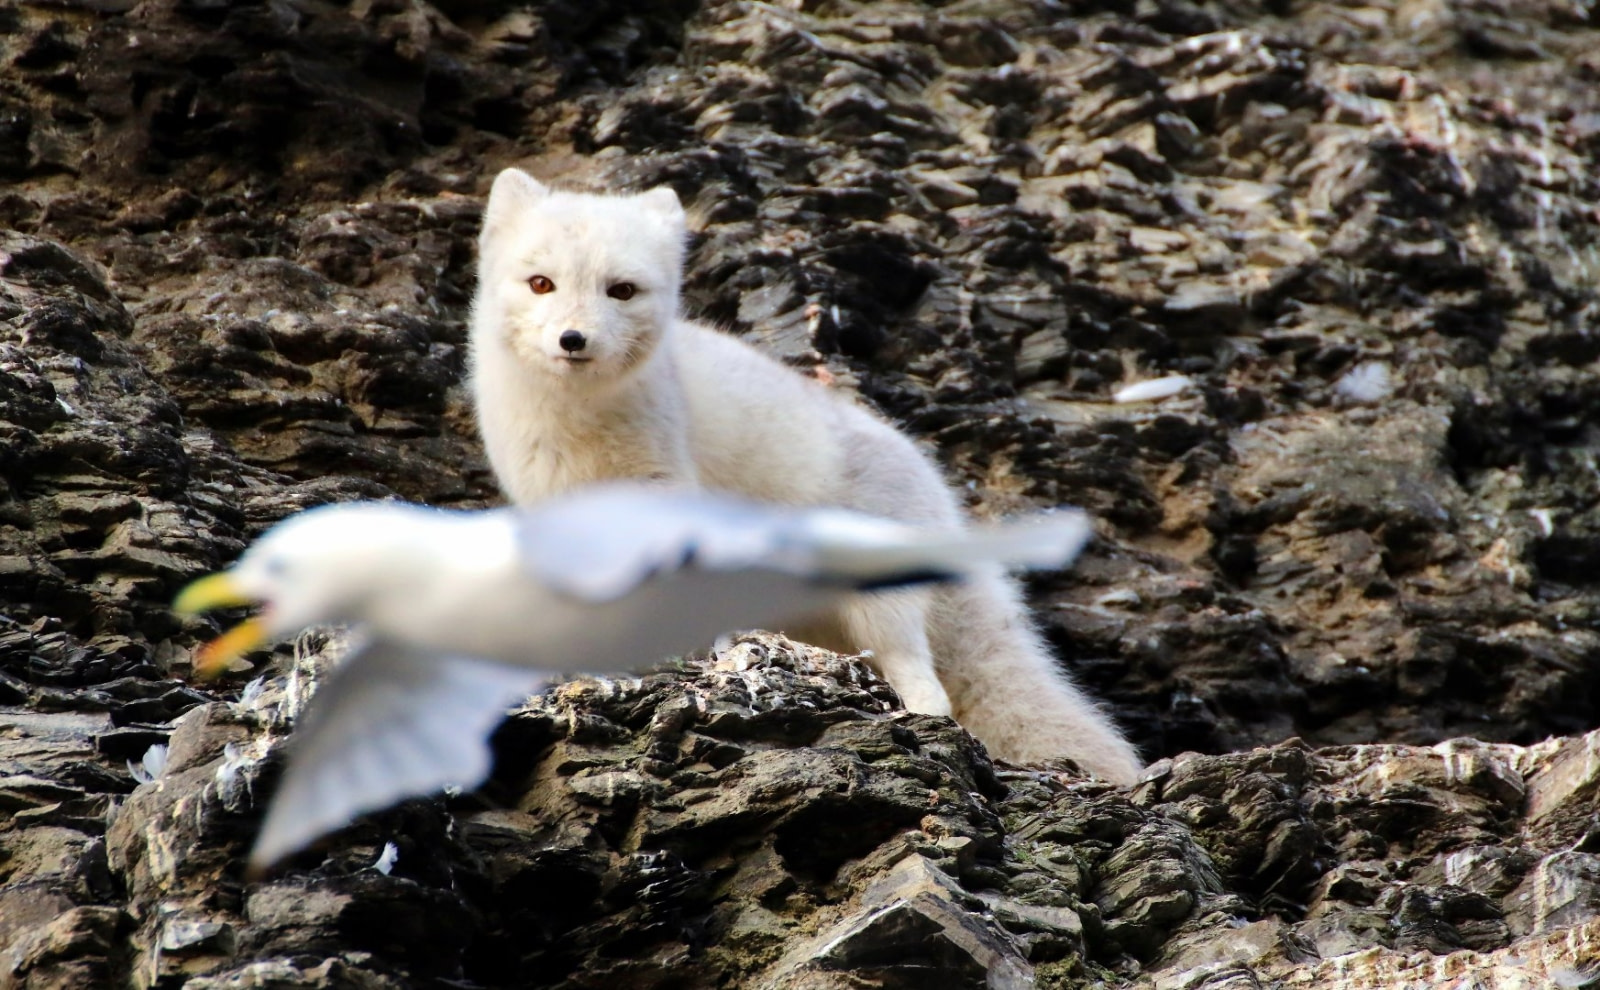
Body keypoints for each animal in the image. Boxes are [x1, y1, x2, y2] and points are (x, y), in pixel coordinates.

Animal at [467, 172, 1145, 790]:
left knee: (929, 686)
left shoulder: (665, 494)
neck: (575, 424)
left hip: (879, 599)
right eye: (541, 283)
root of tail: (941, 492)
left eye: (622, 290)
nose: (573, 339)